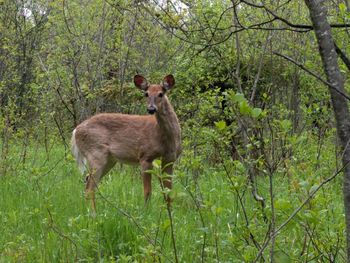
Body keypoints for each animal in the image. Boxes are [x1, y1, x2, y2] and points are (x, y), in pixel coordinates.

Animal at [70, 75, 182, 214]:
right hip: (95, 154)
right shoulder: (145, 155)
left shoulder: (170, 158)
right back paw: (93, 214)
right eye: (146, 94)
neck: (166, 138)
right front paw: (145, 213)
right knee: (89, 186)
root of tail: (76, 131)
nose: (151, 109)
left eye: (161, 94)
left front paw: (170, 213)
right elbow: (147, 191)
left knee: (88, 181)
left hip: (109, 160)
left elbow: (168, 191)